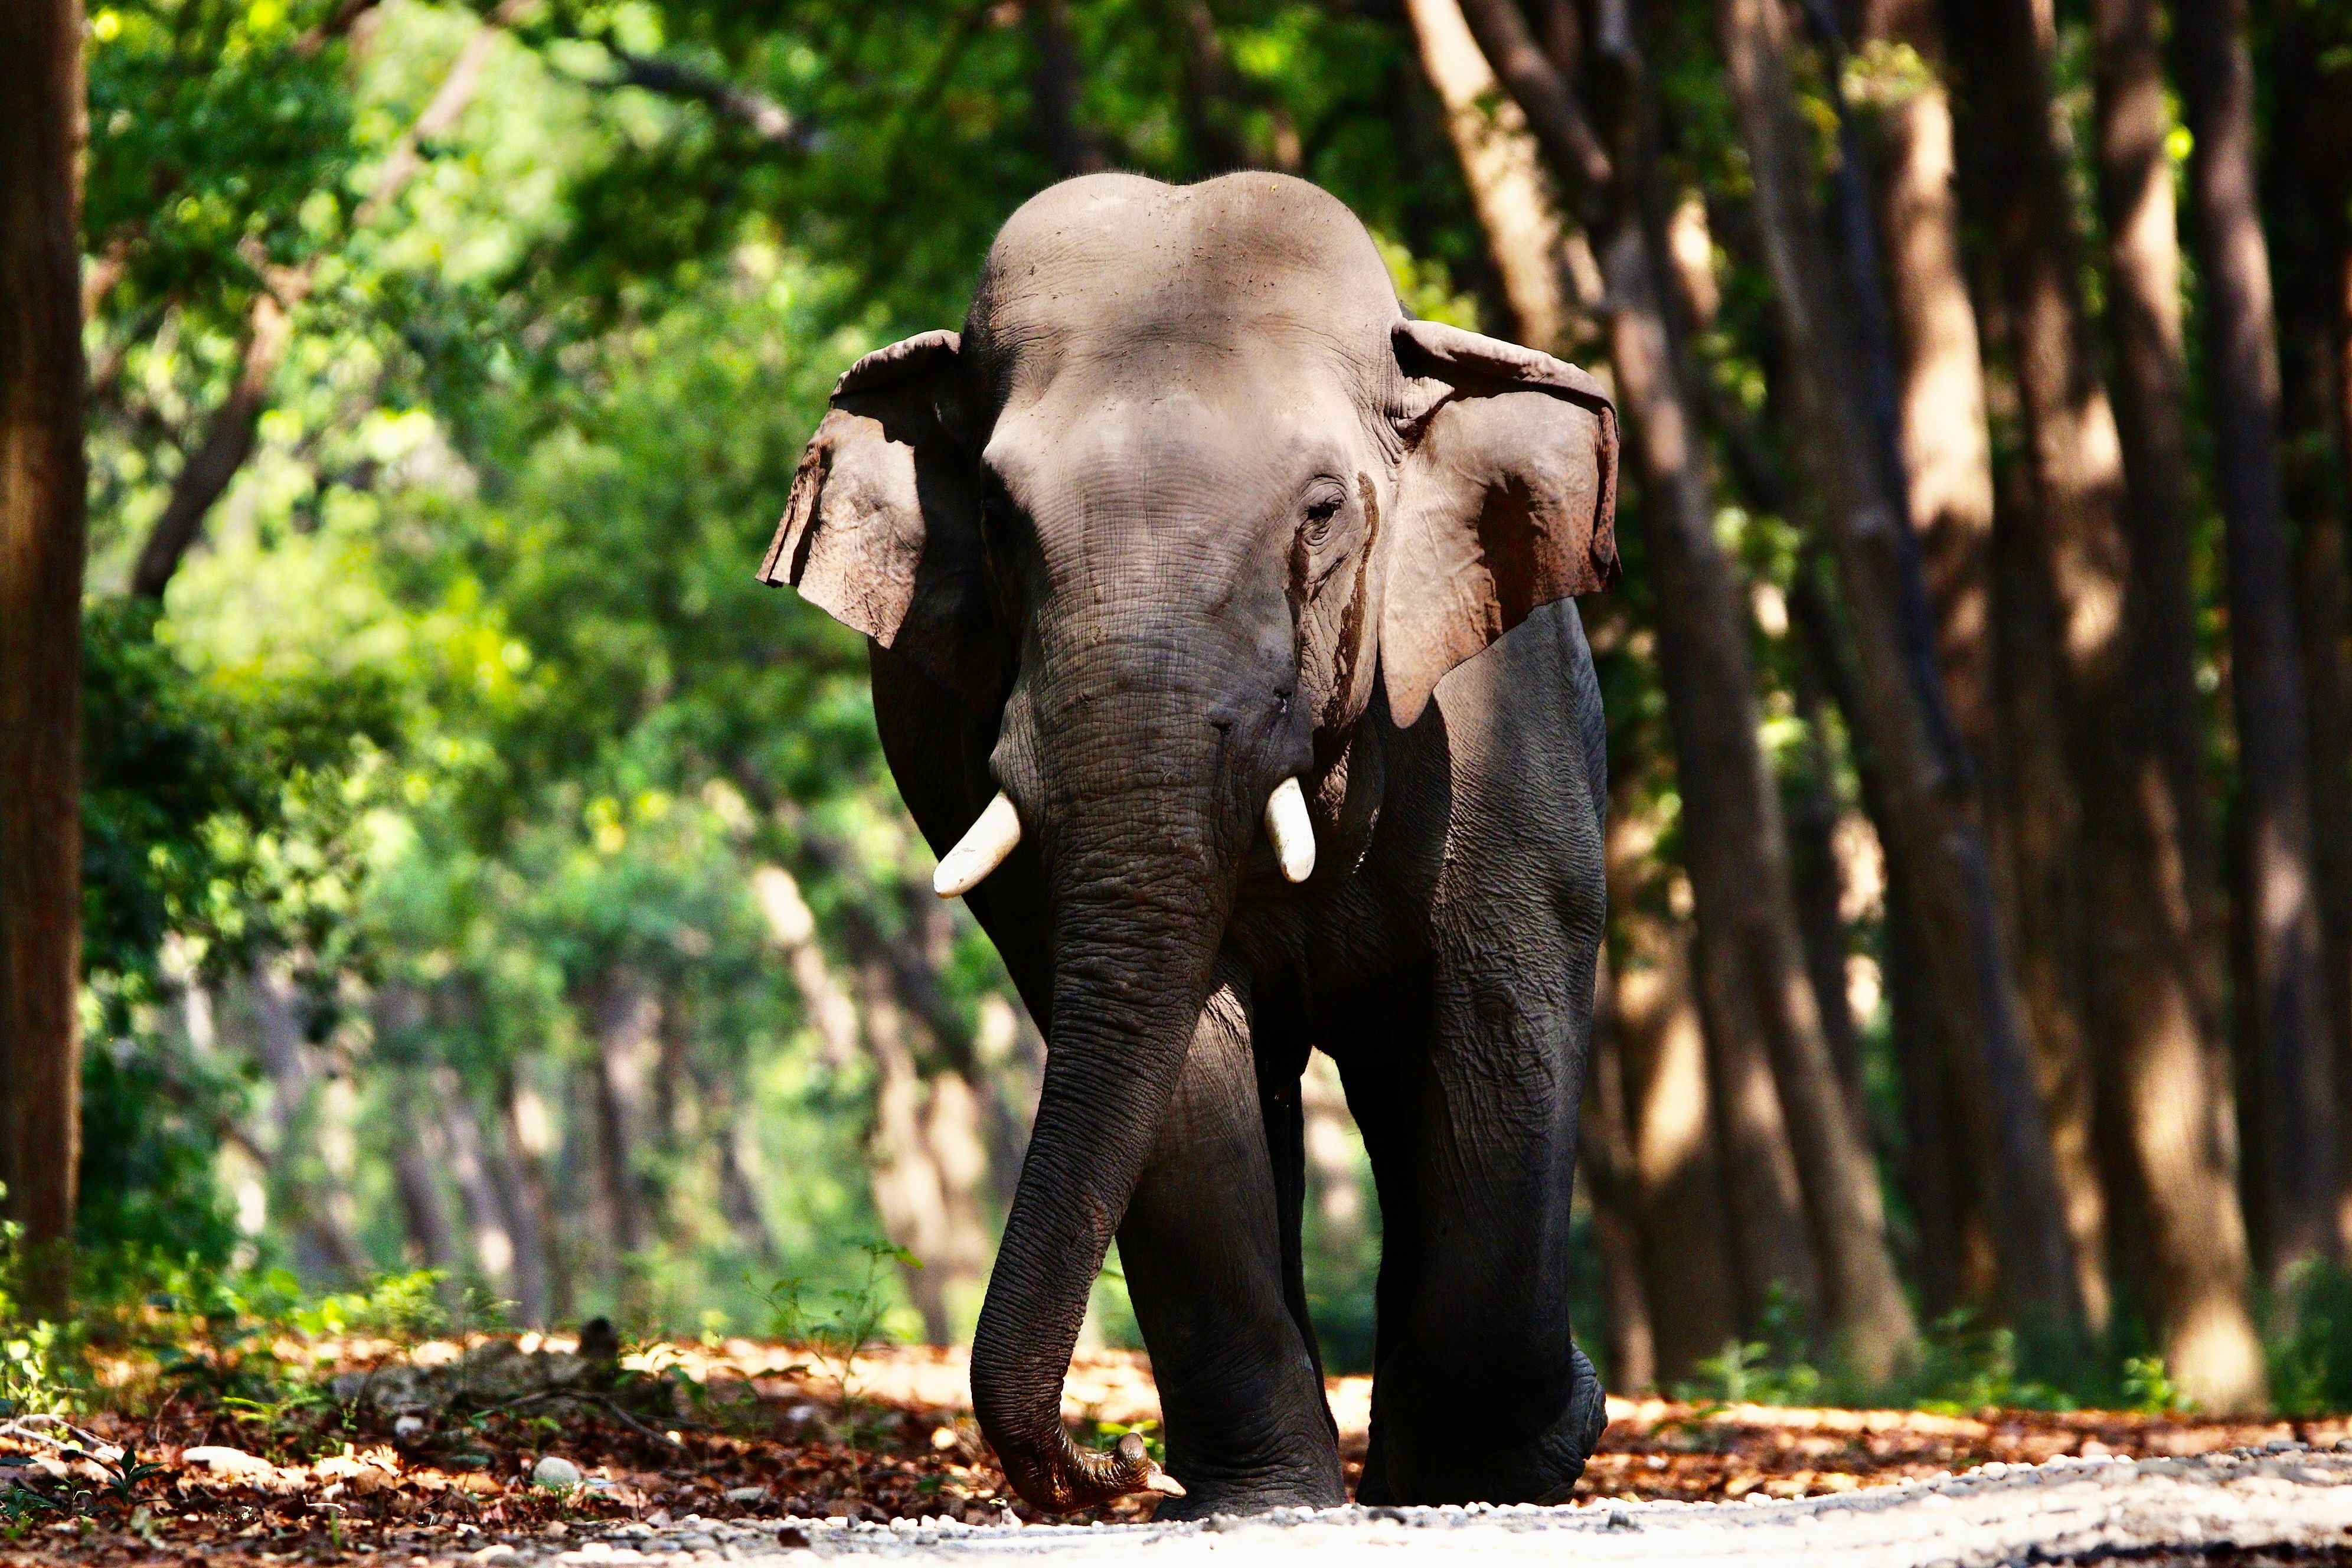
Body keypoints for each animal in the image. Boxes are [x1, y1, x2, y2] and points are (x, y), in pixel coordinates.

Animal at [757, 171, 1620, 1517]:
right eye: (996, 518)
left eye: (1321, 512)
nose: (1113, 1463)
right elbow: (1180, 1065)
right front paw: (1268, 1501)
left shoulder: (1490, 730)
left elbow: (1488, 1026)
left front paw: (1503, 1466)